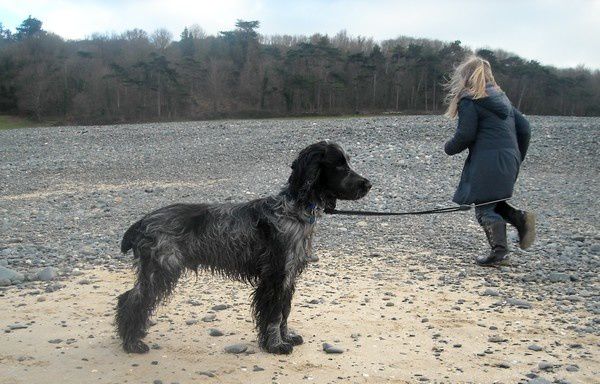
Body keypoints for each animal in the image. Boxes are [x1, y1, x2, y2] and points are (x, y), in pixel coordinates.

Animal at [115, 140, 370, 354]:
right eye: (339, 166)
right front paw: (276, 345)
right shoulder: (275, 276)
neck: (293, 210)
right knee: (132, 300)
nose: (368, 184)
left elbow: (285, 312)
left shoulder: (288, 277)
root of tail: (141, 222)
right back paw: (132, 342)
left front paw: (287, 338)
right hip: (161, 269)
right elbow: (274, 315)